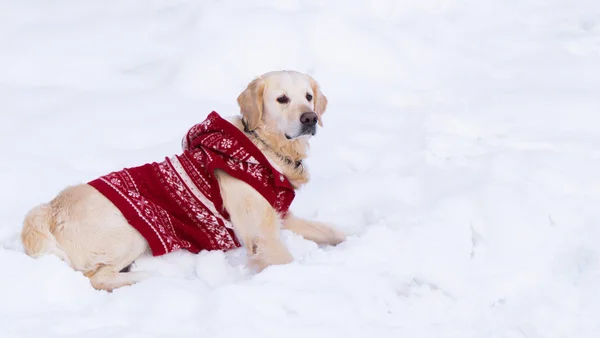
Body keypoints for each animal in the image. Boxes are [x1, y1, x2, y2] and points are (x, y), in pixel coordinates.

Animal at [19, 70, 346, 290]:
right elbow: (282, 259)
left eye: (308, 97)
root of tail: (48, 210)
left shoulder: (280, 215)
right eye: (281, 99)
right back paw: (148, 276)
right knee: (95, 277)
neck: (263, 148)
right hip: (133, 232)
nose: (310, 118)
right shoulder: (260, 234)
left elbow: (330, 231)